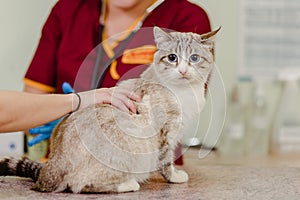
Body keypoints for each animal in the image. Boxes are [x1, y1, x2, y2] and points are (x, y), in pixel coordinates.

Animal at [0, 27, 220, 194]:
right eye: (172, 58)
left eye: (194, 58)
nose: (182, 71)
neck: (185, 91)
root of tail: (51, 166)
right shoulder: (166, 133)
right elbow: (166, 162)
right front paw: (175, 177)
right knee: (78, 184)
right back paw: (129, 184)